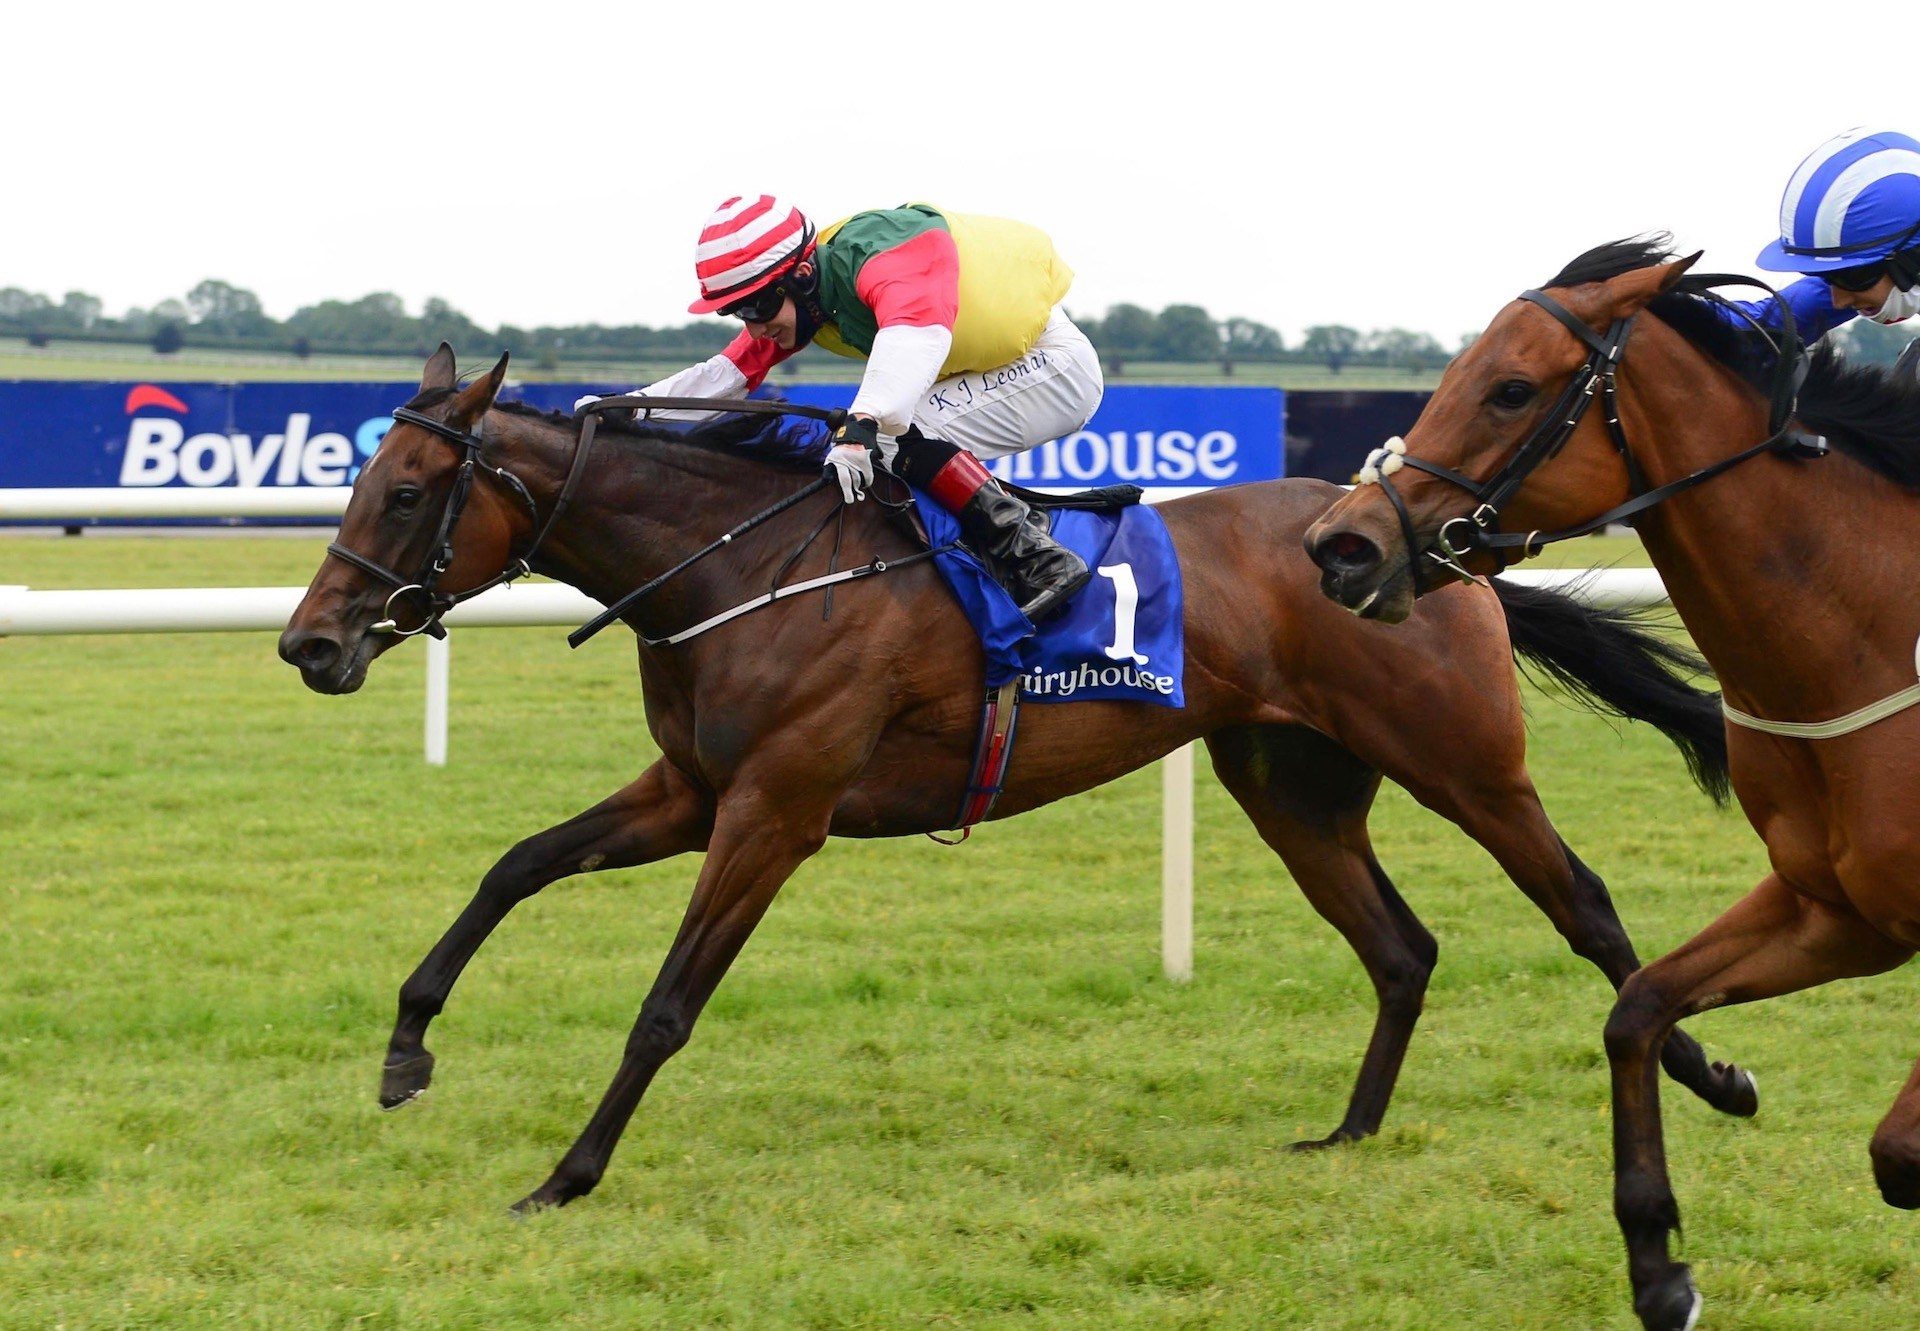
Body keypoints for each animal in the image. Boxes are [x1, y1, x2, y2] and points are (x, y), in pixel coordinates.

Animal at [274, 345, 1758, 1213]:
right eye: (354, 479)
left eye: (404, 492)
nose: (309, 642)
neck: (733, 562)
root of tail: (1423, 543)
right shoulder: (693, 789)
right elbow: (513, 863)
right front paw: (406, 1051)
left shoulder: (775, 812)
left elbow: (665, 1005)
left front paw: (569, 1173)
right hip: (1290, 780)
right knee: (1402, 944)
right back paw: (1348, 1130)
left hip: (1465, 760)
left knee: (1587, 907)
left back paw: (1713, 1076)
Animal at [1297, 239, 1920, 1329]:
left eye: (1509, 387)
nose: (1342, 545)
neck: (1870, 637)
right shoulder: (1838, 908)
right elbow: (1637, 1007)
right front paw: (1658, 1262)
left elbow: (1902, 1150)